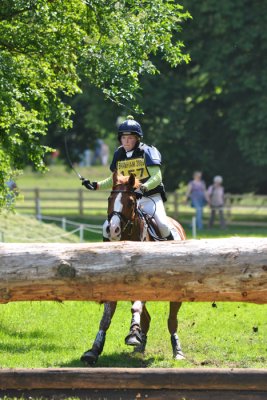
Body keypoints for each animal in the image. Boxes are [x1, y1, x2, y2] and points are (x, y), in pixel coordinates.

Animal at [80, 170, 187, 364]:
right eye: (109, 199)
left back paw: (177, 351)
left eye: (130, 201)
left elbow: (136, 307)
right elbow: (106, 319)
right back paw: (140, 345)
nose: (113, 229)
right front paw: (94, 350)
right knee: (147, 319)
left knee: (172, 321)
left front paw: (132, 335)